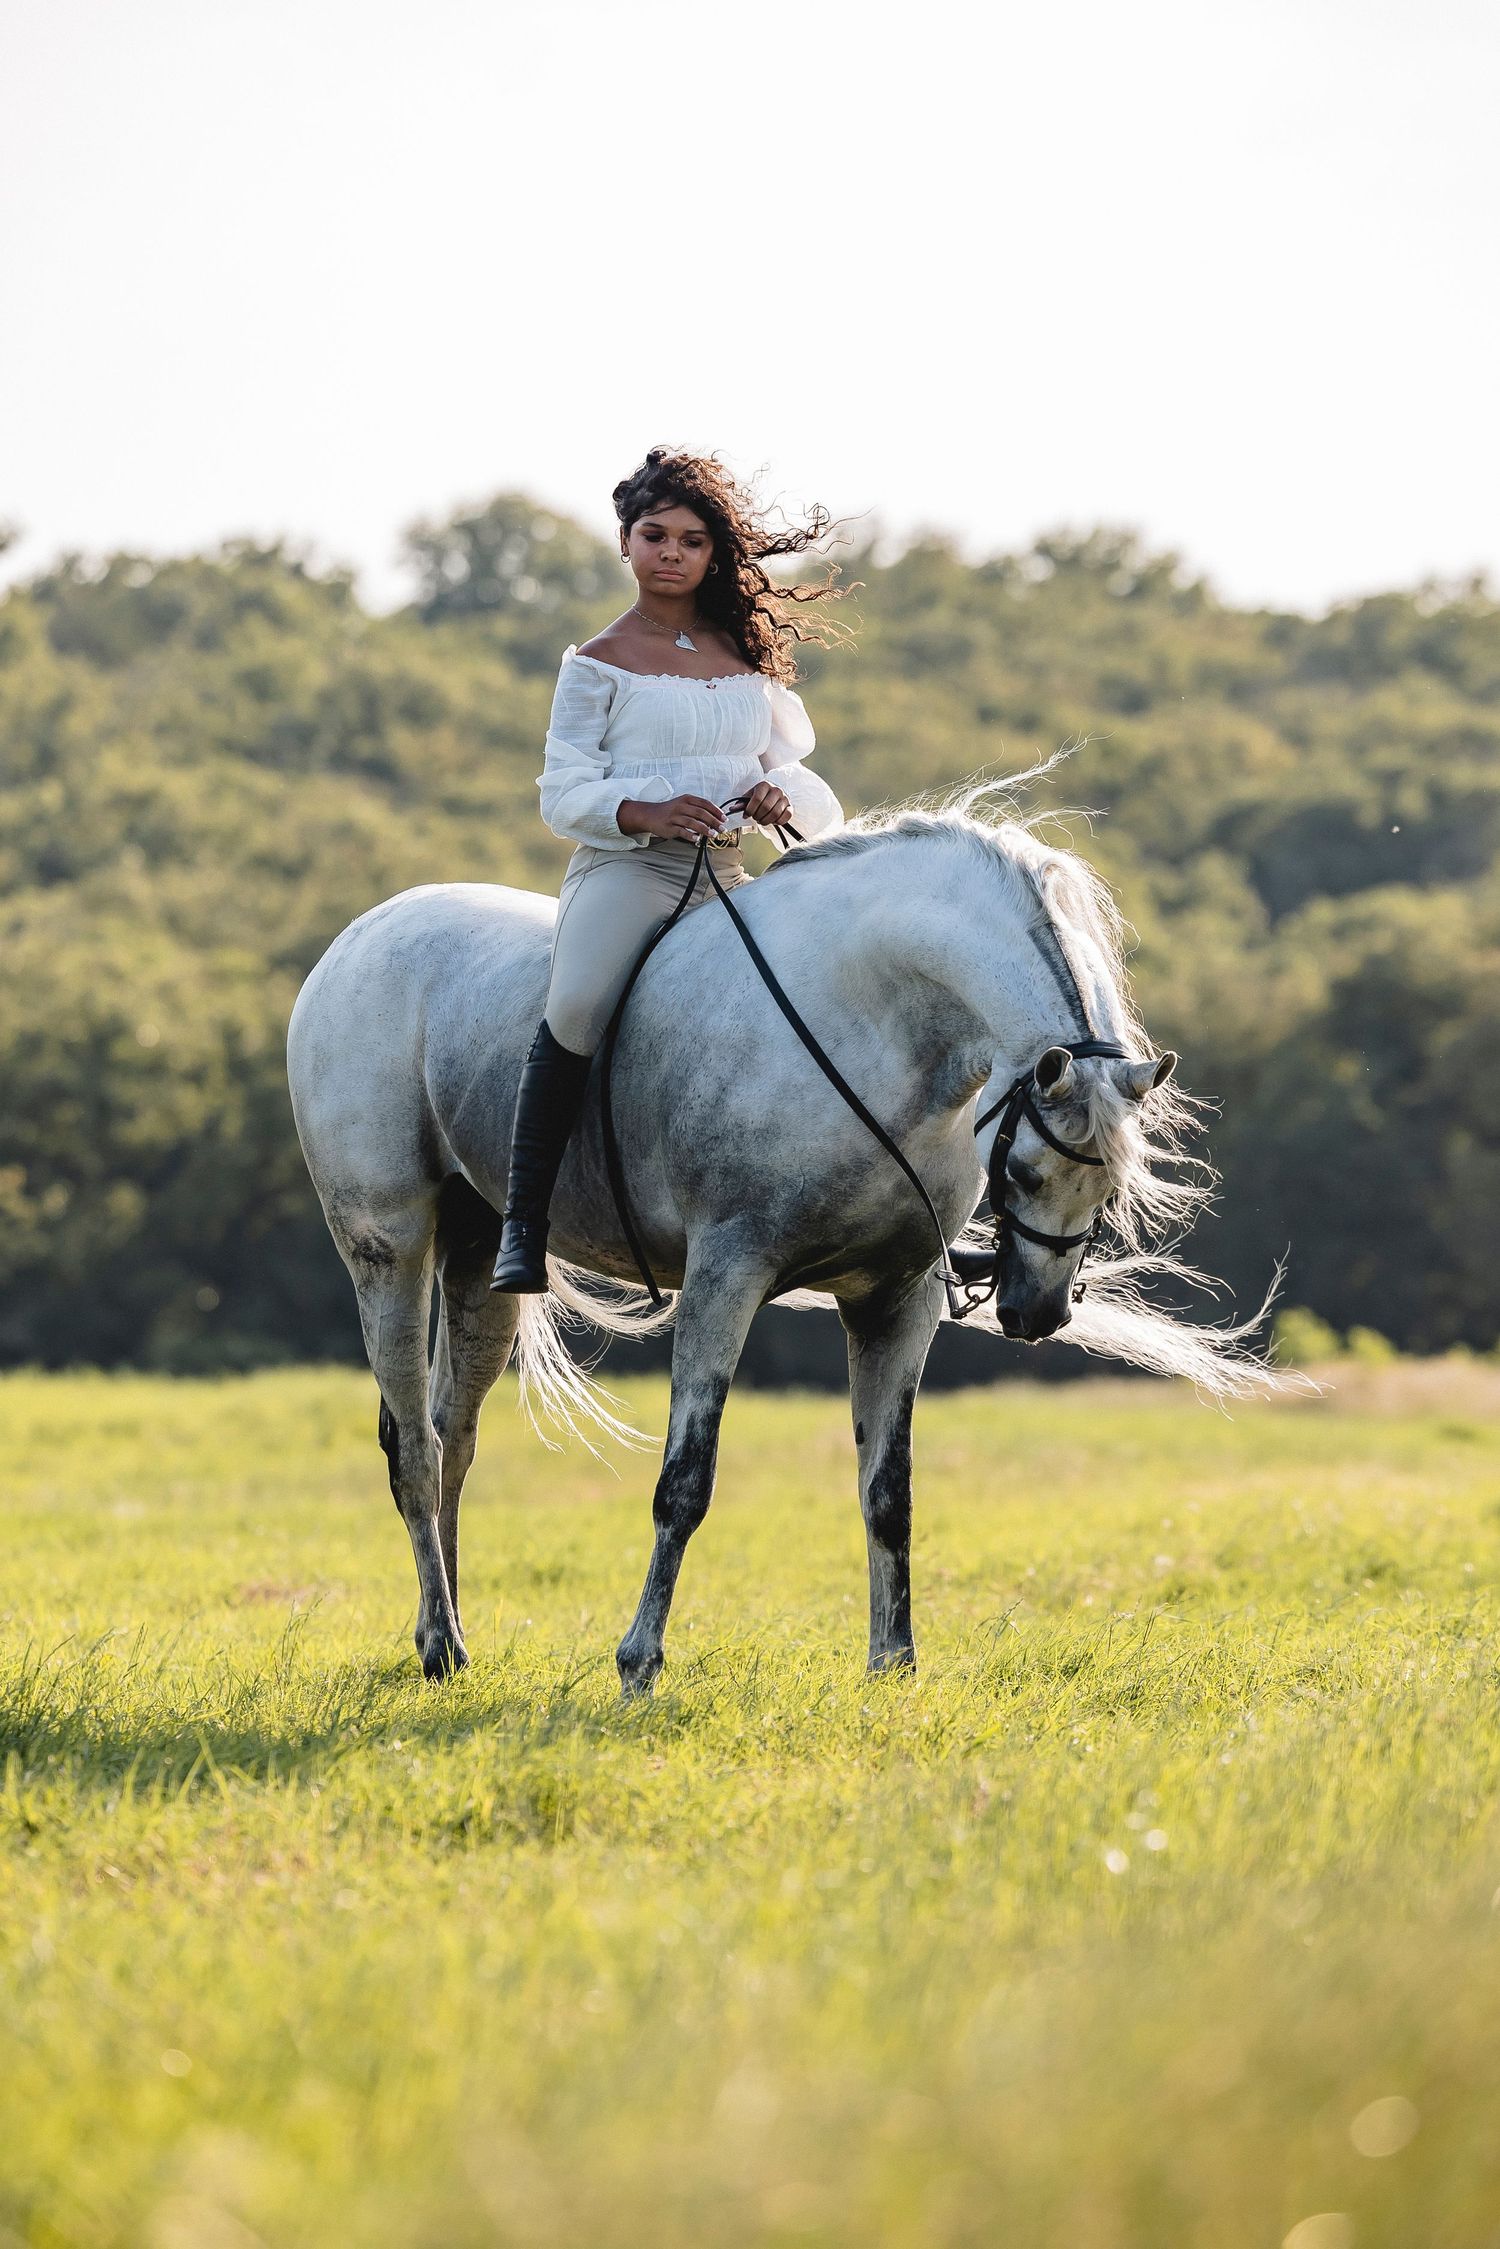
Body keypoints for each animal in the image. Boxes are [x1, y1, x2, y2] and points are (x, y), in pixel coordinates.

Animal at [287, 792, 1276, 1690]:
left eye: (1109, 1188)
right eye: (1026, 1171)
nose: (1036, 1316)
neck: (872, 1029)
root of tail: (357, 938)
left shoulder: (895, 1301)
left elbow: (889, 1490)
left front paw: (893, 1665)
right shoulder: (725, 1279)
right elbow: (685, 1483)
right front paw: (639, 1664)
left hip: (478, 1254)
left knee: (452, 1435)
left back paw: (448, 1641)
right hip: (389, 1250)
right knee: (414, 1451)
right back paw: (441, 1646)